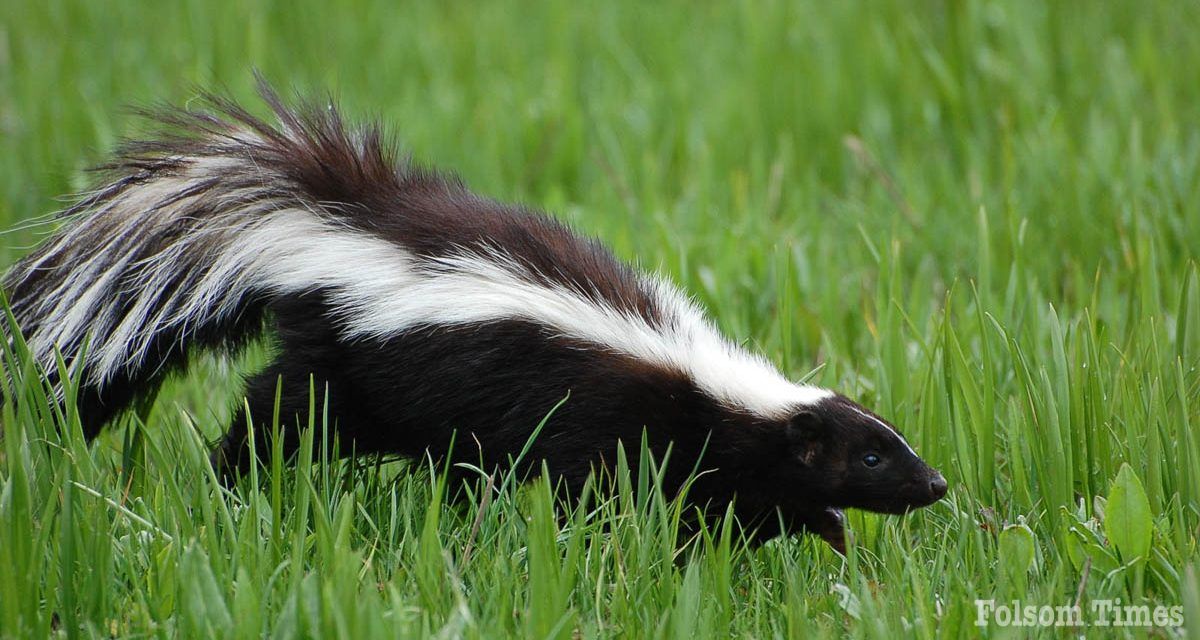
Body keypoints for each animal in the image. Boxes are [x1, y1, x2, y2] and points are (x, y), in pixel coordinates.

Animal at [7, 84, 945, 552]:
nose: (936, 484)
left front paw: (824, 535)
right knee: (280, 414)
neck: (715, 388)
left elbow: (740, 504)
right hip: (354, 365)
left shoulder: (723, 456)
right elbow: (617, 496)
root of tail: (336, 223)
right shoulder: (614, 422)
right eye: (874, 454)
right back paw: (232, 480)